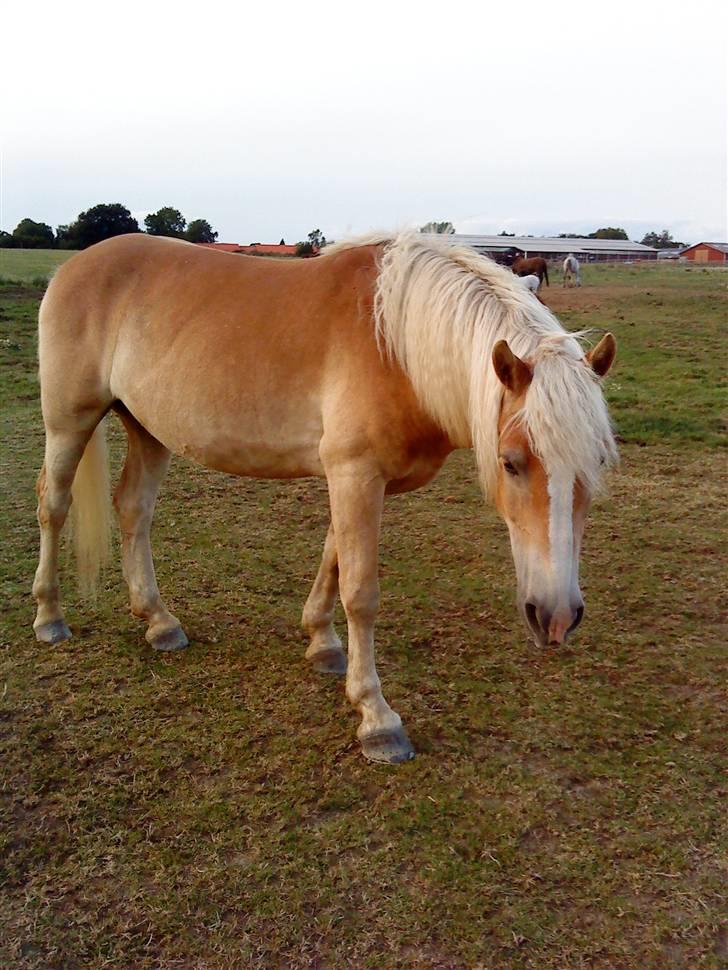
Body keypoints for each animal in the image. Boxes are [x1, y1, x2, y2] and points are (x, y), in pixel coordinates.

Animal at [32, 233, 616, 764]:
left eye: (598, 463)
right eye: (511, 462)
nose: (556, 616)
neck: (394, 347)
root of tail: (74, 266)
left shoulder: (355, 479)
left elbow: (333, 560)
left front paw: (323, 644)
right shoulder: (355, 473)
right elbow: (360, 592)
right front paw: (376, 718)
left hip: (148, 430)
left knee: (133, 509)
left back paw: (159, 621)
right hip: (70, 421)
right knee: (52, 506)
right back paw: (50, 617)